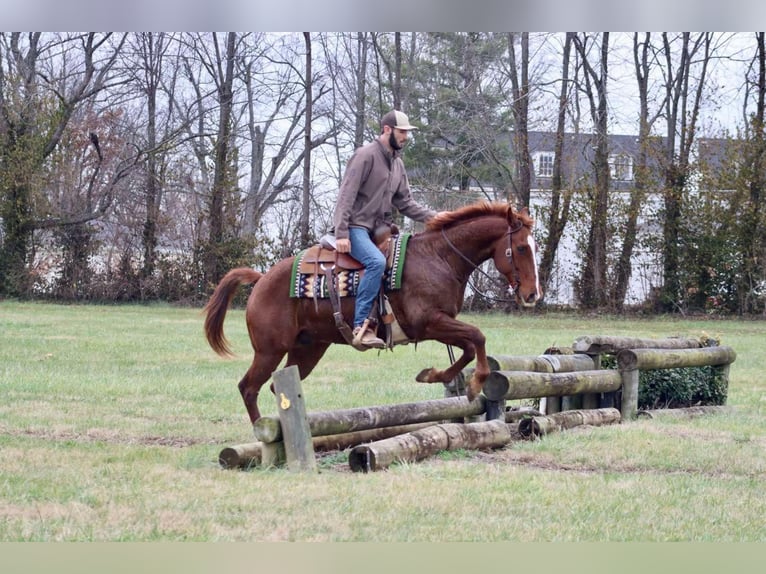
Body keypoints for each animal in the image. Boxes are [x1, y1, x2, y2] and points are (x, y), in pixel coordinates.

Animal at [203, 200, 542, 423]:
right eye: (521, 248)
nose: (532, 294)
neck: (438, 258)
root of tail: (261, 279)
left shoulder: (442, 323)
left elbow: (470, 348)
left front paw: (435, 375)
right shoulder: (429, 323)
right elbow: (478, 337)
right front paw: (472, 384)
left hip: (307, 349)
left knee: (277, 386)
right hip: (270, 350)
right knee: (249, 388)